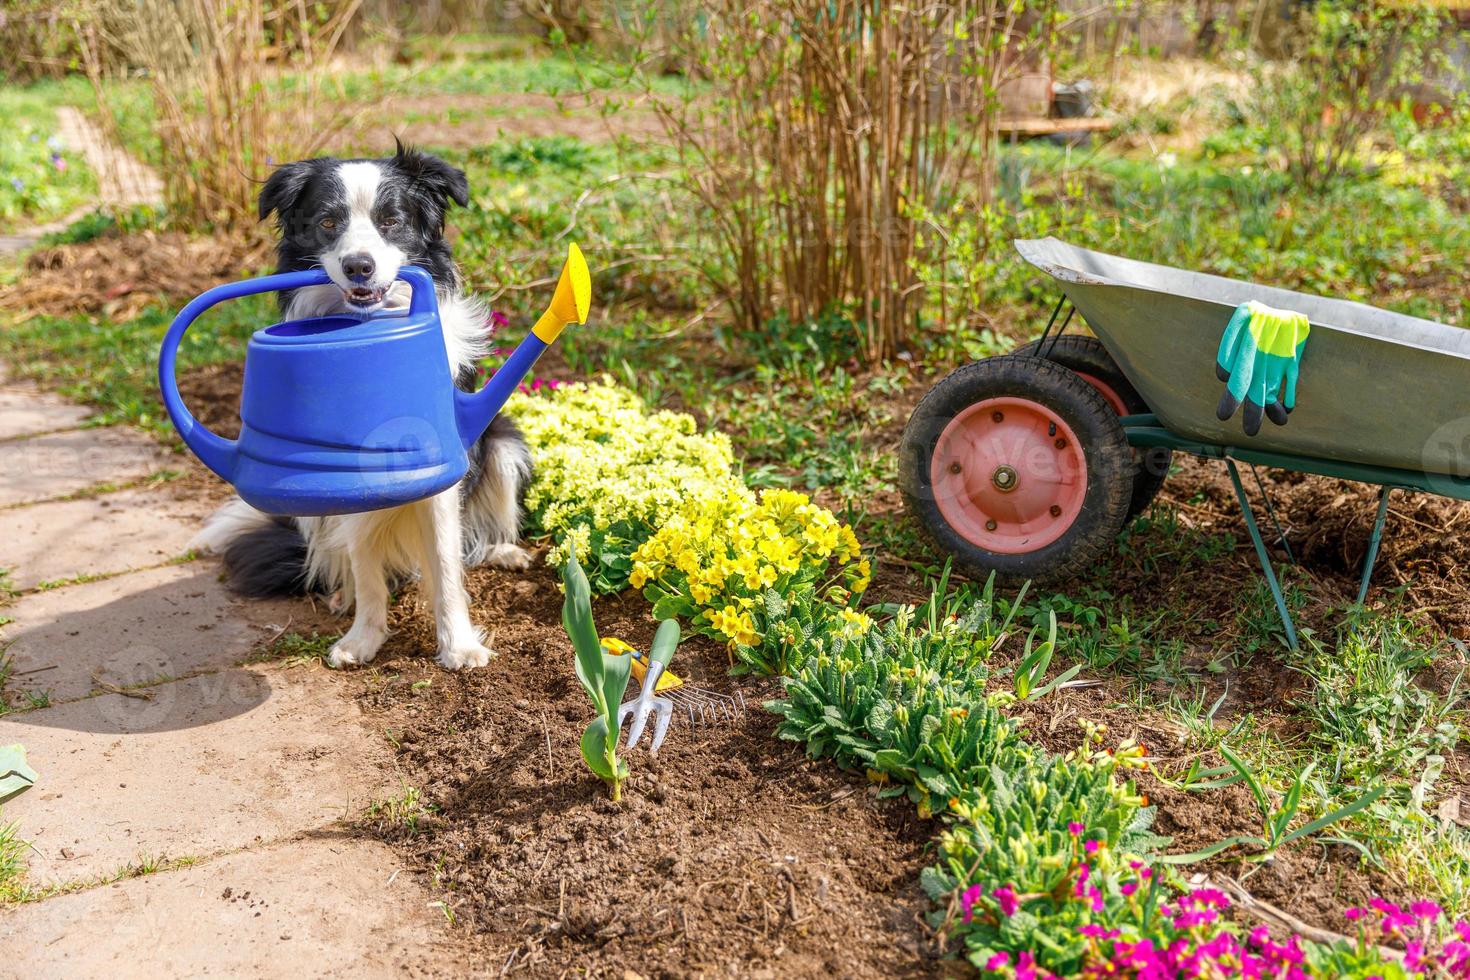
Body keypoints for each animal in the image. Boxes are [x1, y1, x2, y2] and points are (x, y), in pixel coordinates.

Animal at [192, 141, 532, 669]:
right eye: (328, 222)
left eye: (391, 221)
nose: (359, 267)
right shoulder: (343, 478)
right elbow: (363, 561)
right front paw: (363, 638)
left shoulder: (445, 465)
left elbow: (446, 561)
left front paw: (459, 646)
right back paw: (342, 596)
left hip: (503, 443)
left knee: (472, 538)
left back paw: (503, 552)